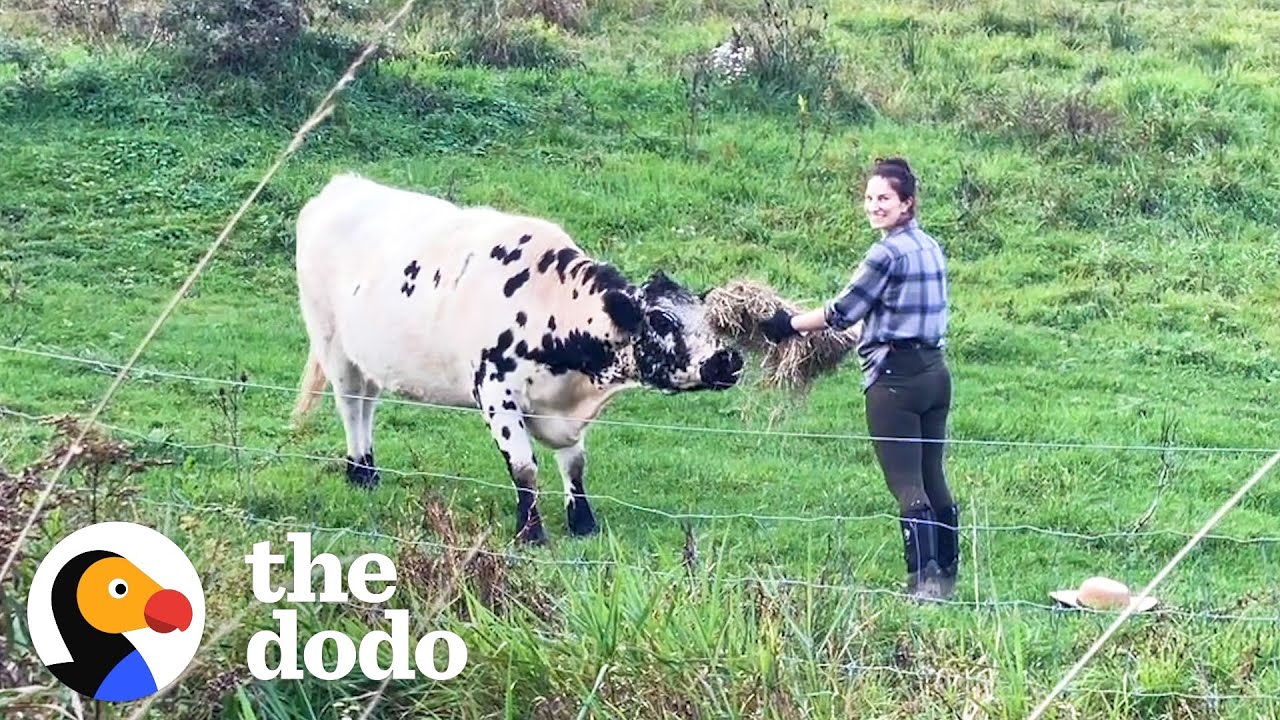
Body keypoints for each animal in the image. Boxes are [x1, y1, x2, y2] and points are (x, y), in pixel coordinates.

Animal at [290, 174, 745, 544]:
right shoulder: (496, 394)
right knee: (351, 405)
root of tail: (343, 185)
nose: (728, 360)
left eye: (707, 317)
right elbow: (525, 467)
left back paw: (368, 468)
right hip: (332, 343)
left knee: (367, 405)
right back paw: (359, 472)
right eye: (662, 319)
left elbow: (575, 465)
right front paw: (531, 533)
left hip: (368, 357)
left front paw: (583, 523)